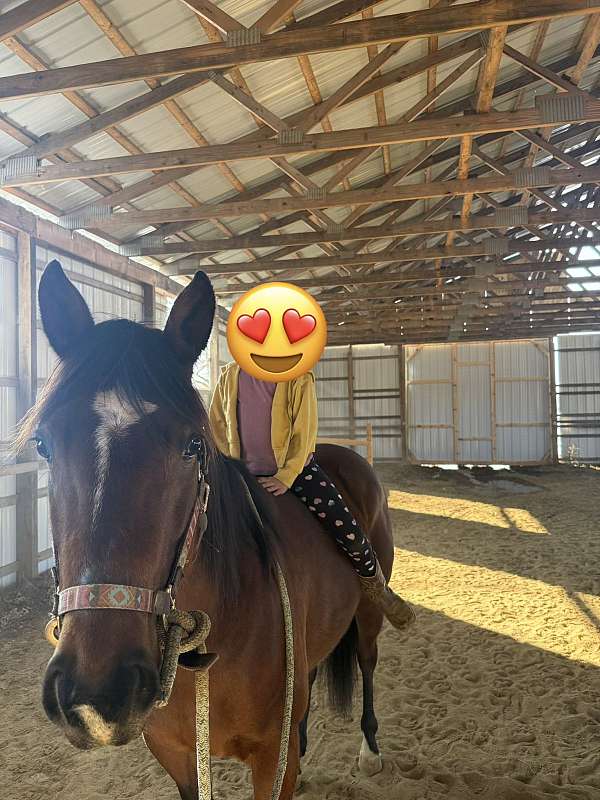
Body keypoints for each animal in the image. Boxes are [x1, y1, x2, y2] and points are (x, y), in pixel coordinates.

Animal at [23, 260, 398, 799]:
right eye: (44, 444)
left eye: (193, 446)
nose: (97, 694)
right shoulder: (178, 757)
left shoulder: (271, 760)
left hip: (368, 610)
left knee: (368, 660)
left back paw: (370, 750)